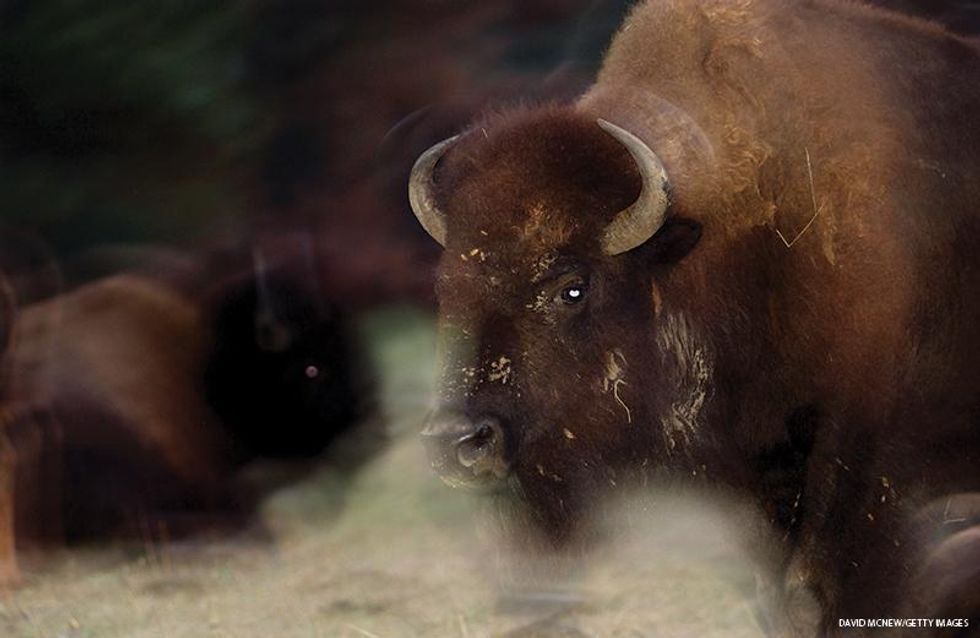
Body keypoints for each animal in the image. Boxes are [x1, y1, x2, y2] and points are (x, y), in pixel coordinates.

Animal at [410, 0, 980, 632]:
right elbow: (777, 595)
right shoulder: (757, 480)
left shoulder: (863, 460)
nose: (459, 442)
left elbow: (821, 589)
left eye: (573, 289)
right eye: (446, 288)